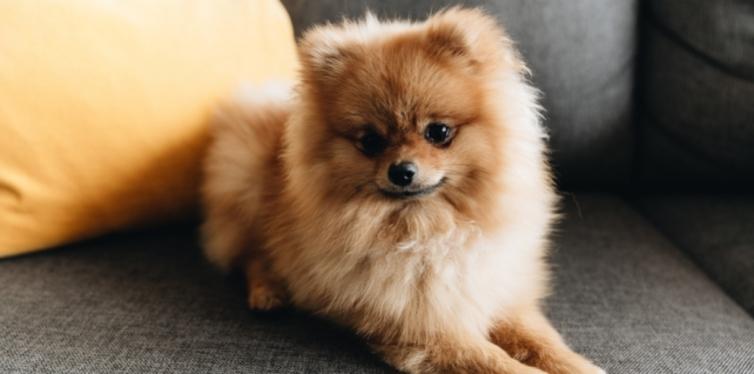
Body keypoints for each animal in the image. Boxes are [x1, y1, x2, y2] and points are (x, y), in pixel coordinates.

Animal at [200, 6, 600, 374]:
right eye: (371, 142)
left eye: (438, 132)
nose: (402, 171)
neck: (431, 229)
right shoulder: (424, 327)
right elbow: (494, 361)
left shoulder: (498, 293)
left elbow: (541, 339)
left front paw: (577, 364)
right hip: (246, 186)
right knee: (250, 254)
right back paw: (268, 292)